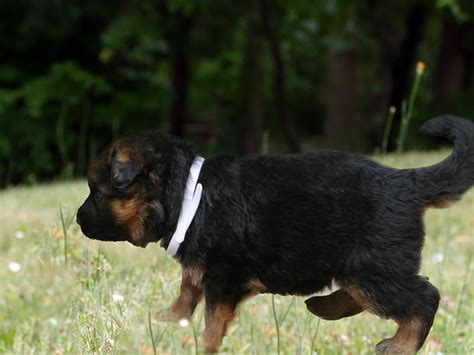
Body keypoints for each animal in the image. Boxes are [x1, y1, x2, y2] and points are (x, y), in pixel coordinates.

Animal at [76, 115, 472, 354]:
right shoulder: (204, 265)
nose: (78, 221)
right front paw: (173, 319)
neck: (188, 192)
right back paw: (324, 306)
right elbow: (188, 286)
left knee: (424, 296)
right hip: (363, 265)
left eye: (98, 193)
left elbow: (212, 319)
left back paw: (401, 344)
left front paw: (201, 344)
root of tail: (406, 181)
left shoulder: (224, 275)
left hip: (372, 266)